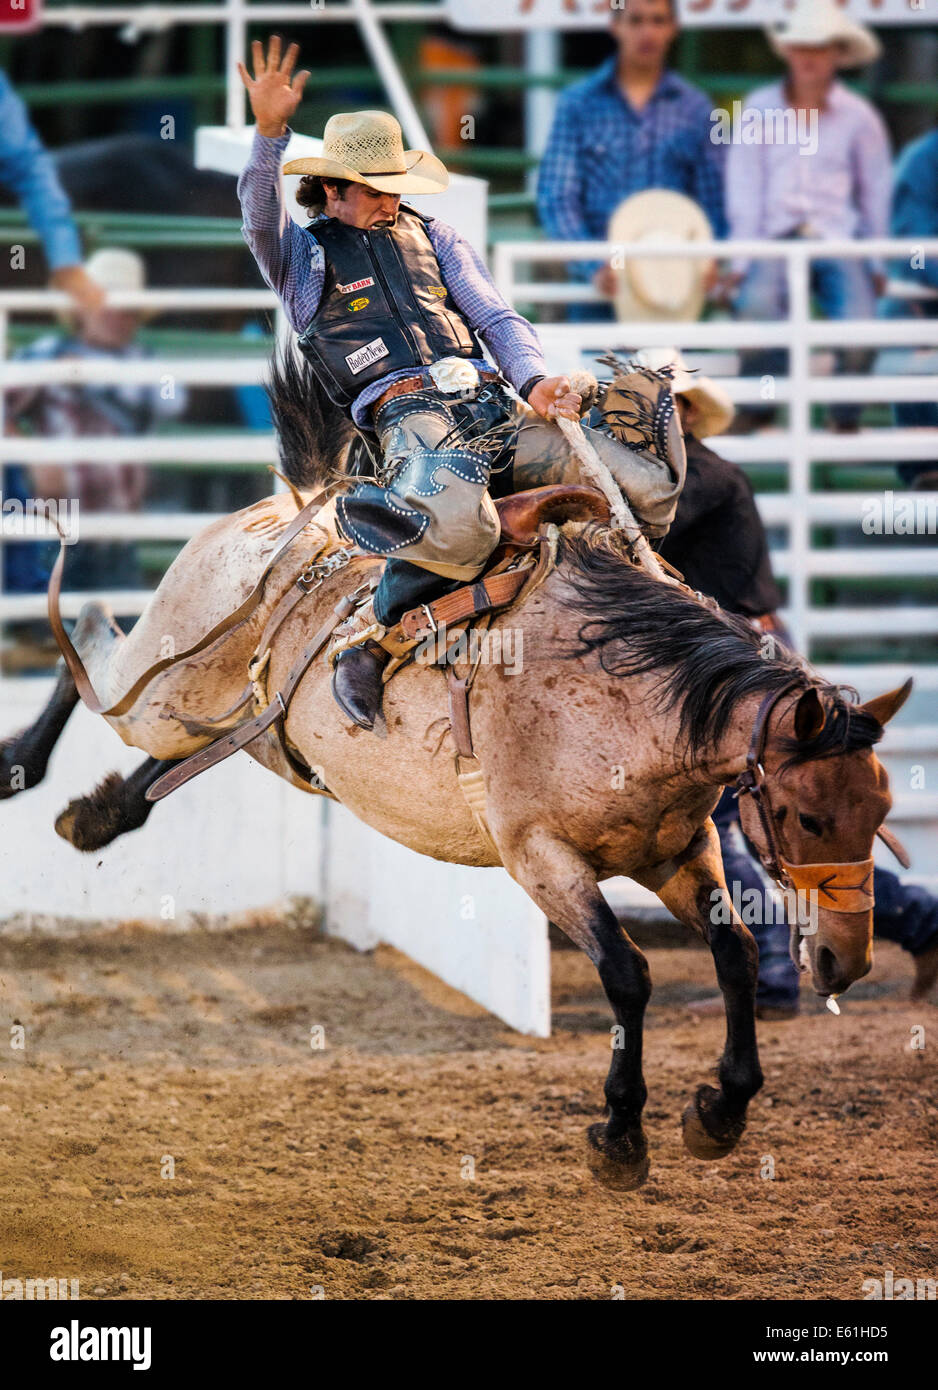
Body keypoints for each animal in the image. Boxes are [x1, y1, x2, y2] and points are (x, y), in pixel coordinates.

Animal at [0, 359, 911, 1190]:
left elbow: (733, 954)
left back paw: (97, 815)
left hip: (242, 724)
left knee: (160, 750)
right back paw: (24, 764)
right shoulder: (539, 859)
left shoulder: (679, 853)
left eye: (878, 813)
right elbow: (627, 976)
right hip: (168, 676)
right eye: (804, 817)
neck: (624, 692)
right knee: (92, 649)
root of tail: (294, 506)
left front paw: (720, 1111)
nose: (846, 962)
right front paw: (620, 1134)